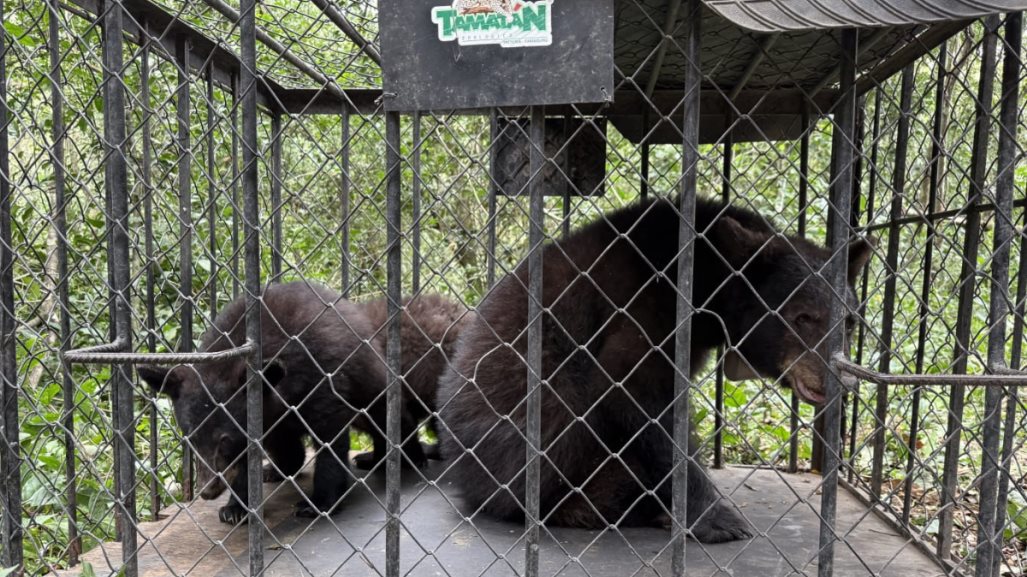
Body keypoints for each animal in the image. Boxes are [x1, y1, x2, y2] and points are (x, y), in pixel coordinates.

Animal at [136, 281, 425, 523]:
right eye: (191, 438)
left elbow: (329, 439)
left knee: (388, 416)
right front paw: (236, 508)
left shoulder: (321, 378)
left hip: (369, 380)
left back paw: (407, 456)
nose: (208, 490)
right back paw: (278, 468)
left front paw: (318, 503)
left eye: (224, 440)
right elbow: (246, 462)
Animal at [437, 195, 870, 542]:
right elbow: (633, 391)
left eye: (850, 321)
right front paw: (718, 519)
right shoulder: (645, 308)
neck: (705, 278)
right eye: (802, 317)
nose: (843, 381)